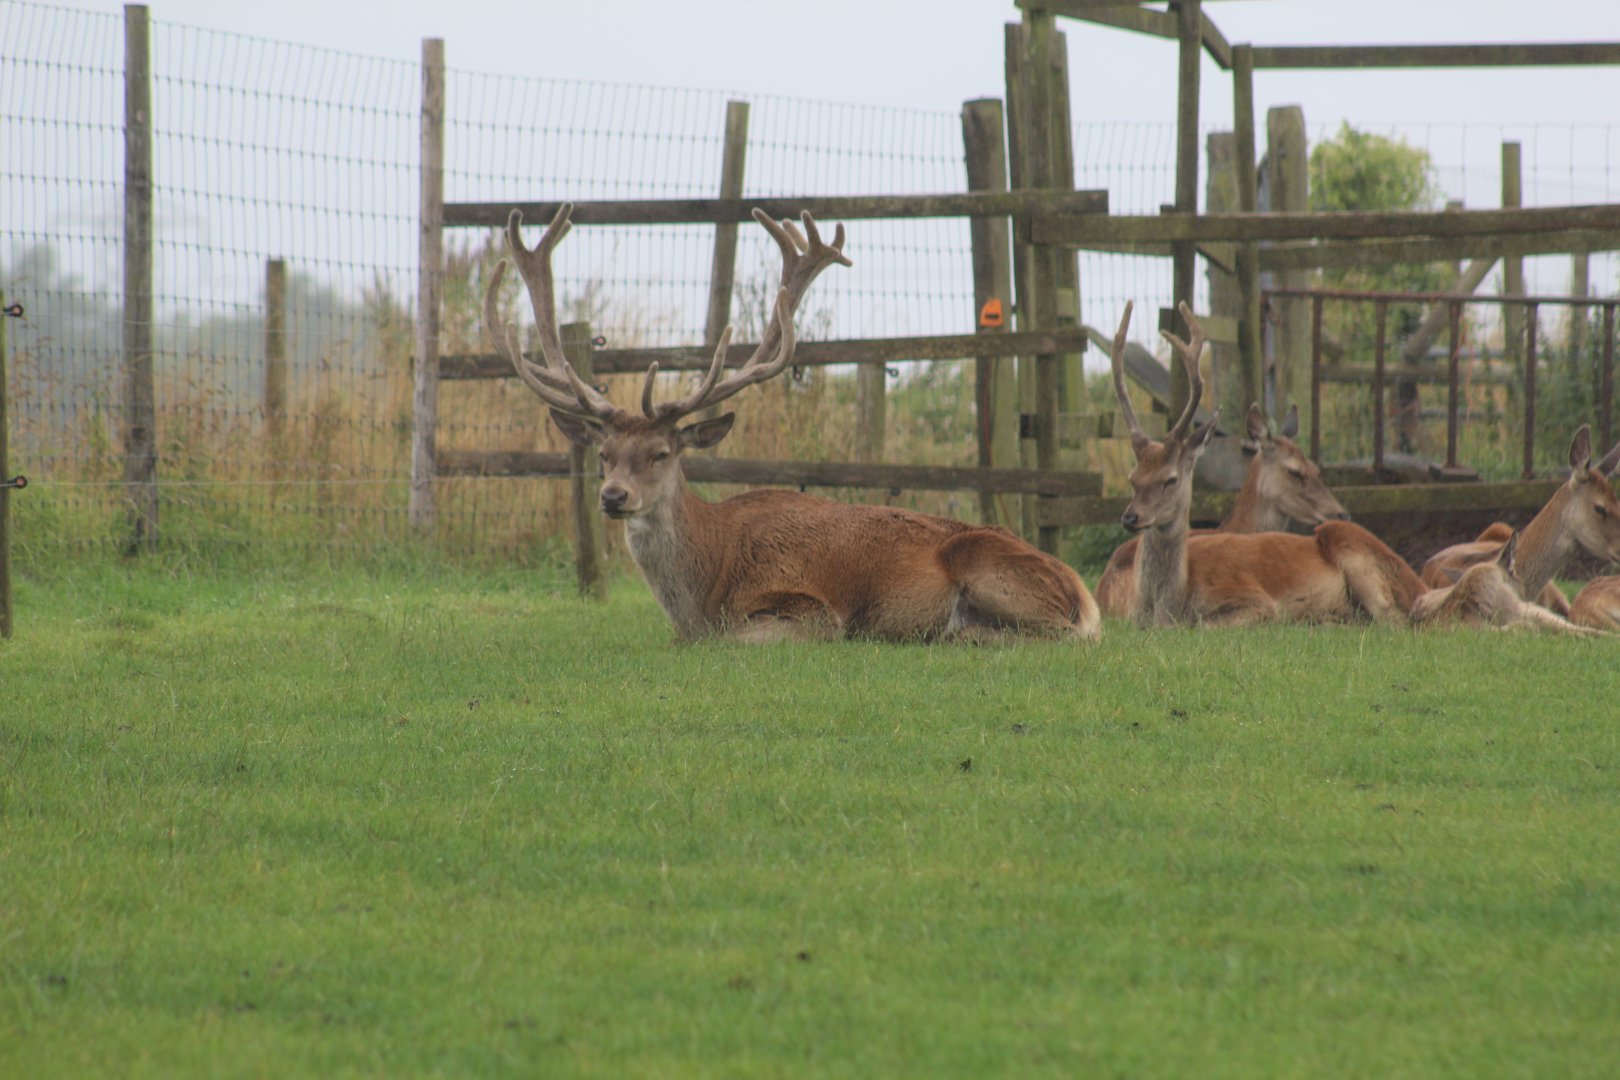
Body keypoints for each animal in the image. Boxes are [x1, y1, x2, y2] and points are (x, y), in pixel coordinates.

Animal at [484, 203, 1100, 643]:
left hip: (992, 570)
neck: (703, 587)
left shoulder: (806, 607)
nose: (613, 496)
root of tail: (1085, 595)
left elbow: (732, 638)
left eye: (662, 453)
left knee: (1053, 635)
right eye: (604, 454)